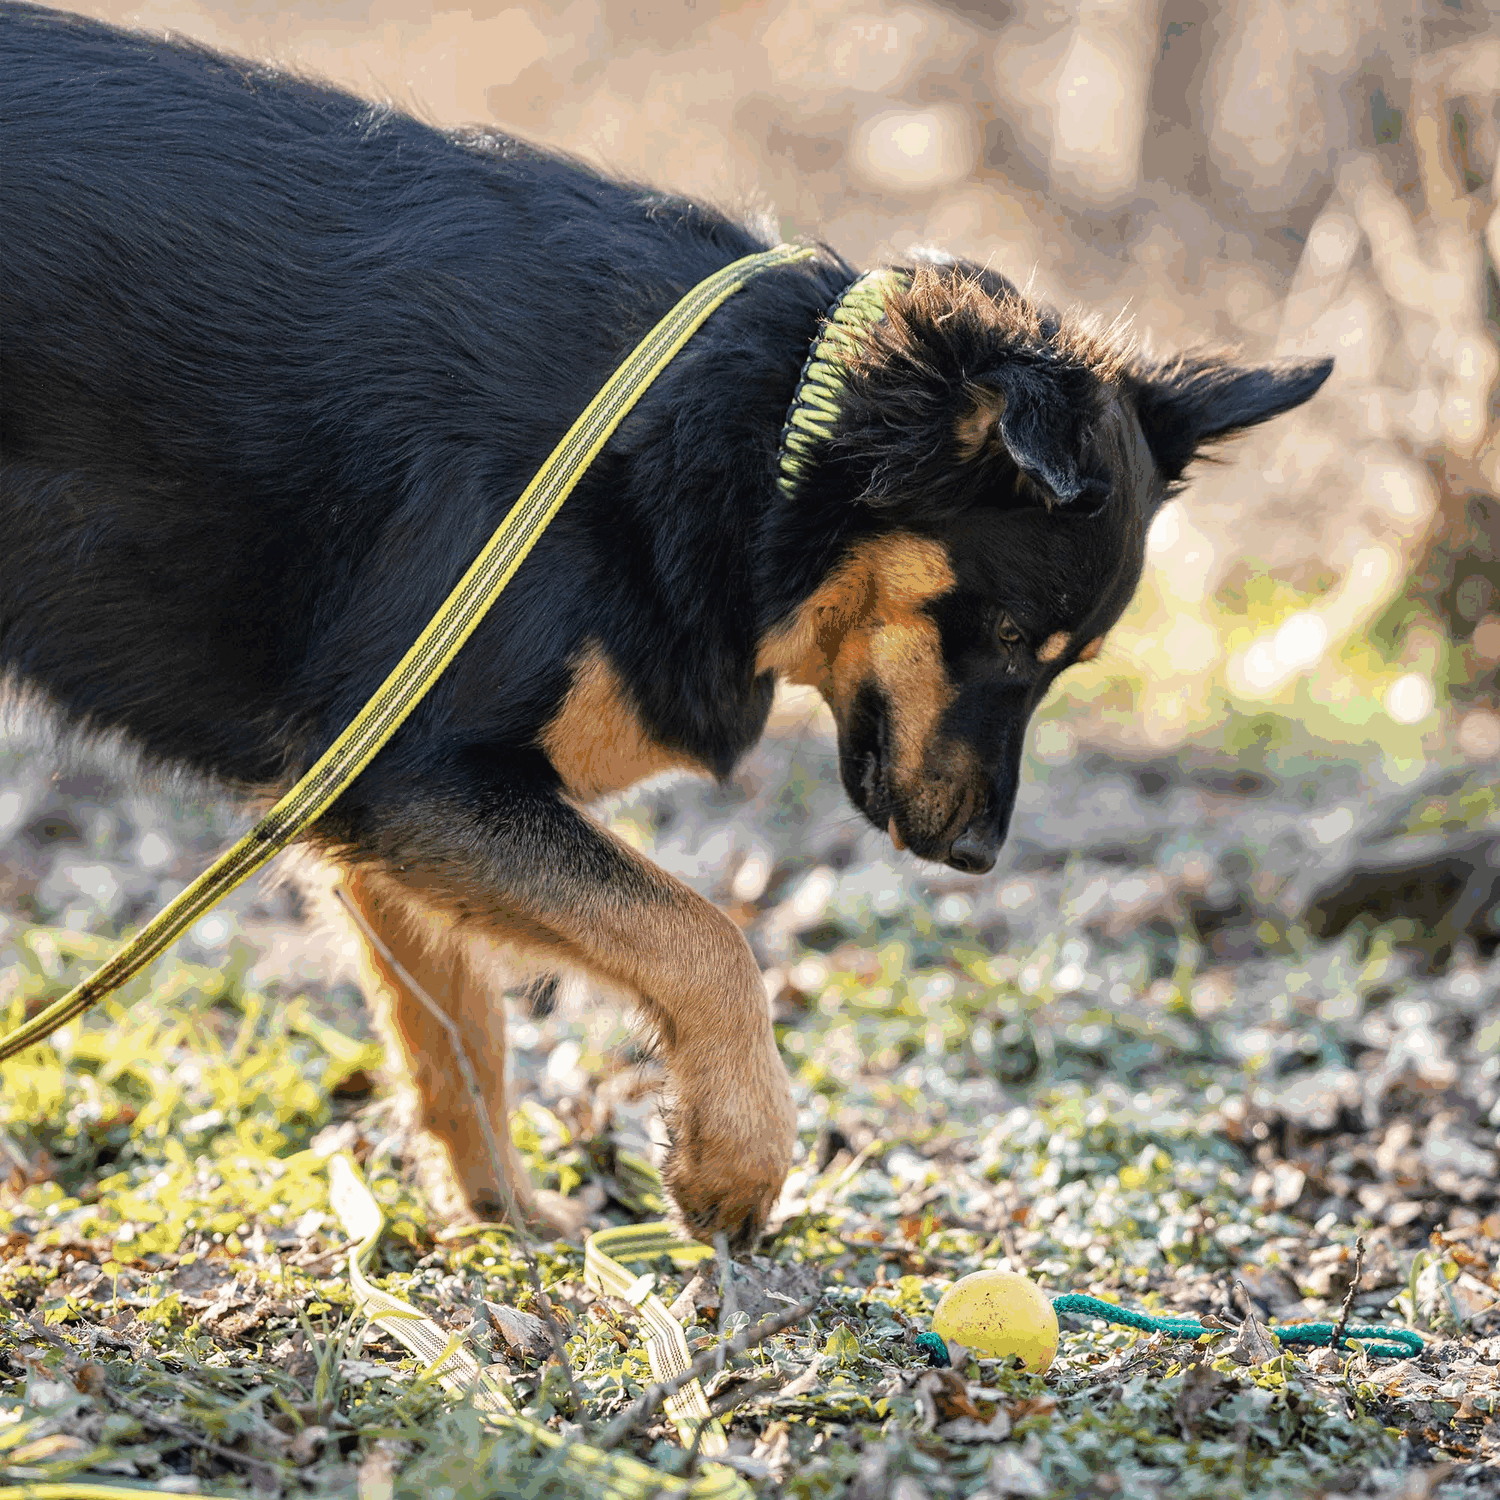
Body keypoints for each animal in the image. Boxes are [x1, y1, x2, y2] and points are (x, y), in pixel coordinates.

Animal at [0, 5, 1338, 1248]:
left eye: (1066, 664)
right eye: (1007, 639)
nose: (975, 859)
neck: (758, 436)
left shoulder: (375, 802)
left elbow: (459, 1031)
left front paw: (507, 1221)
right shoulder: (419, 775)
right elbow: (704, 938)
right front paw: (733, 1160)